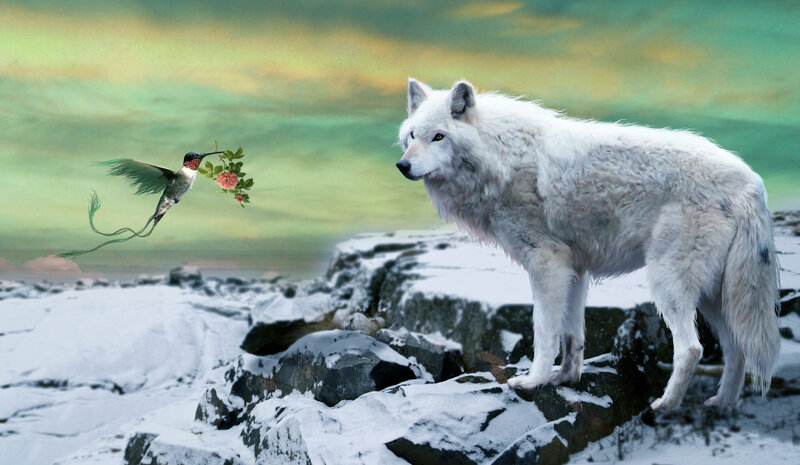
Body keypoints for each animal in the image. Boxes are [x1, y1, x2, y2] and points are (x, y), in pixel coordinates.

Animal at [395, 79, 780, 409]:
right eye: (412, 136)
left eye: (439, 137)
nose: (402, 165)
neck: (500, 158)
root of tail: (752, 181)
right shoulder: (574, 270)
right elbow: (572, 335)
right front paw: (566, 378)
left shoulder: (547, 264)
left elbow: (544, 330)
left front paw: (533, 381)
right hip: (715, 296)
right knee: (737, 348)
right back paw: (722, 403)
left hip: (669, 285)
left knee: (692, 349)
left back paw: (665, 405)